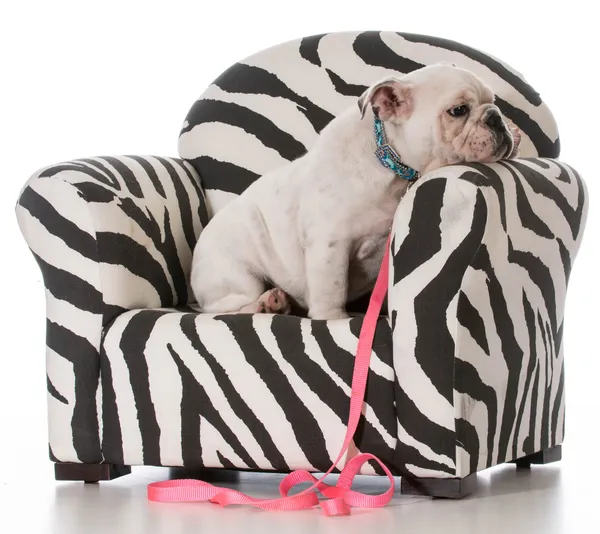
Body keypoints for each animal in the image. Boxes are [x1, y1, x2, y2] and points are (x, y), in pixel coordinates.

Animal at [190, 65, 516, 320]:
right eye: (458, 111)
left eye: (493, 102)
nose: (497, 117)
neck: (391, 164)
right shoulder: (330, 243)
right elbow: (332, 288)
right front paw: (333, 319)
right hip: (237, 275)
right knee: (226, 307)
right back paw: (267, 304)